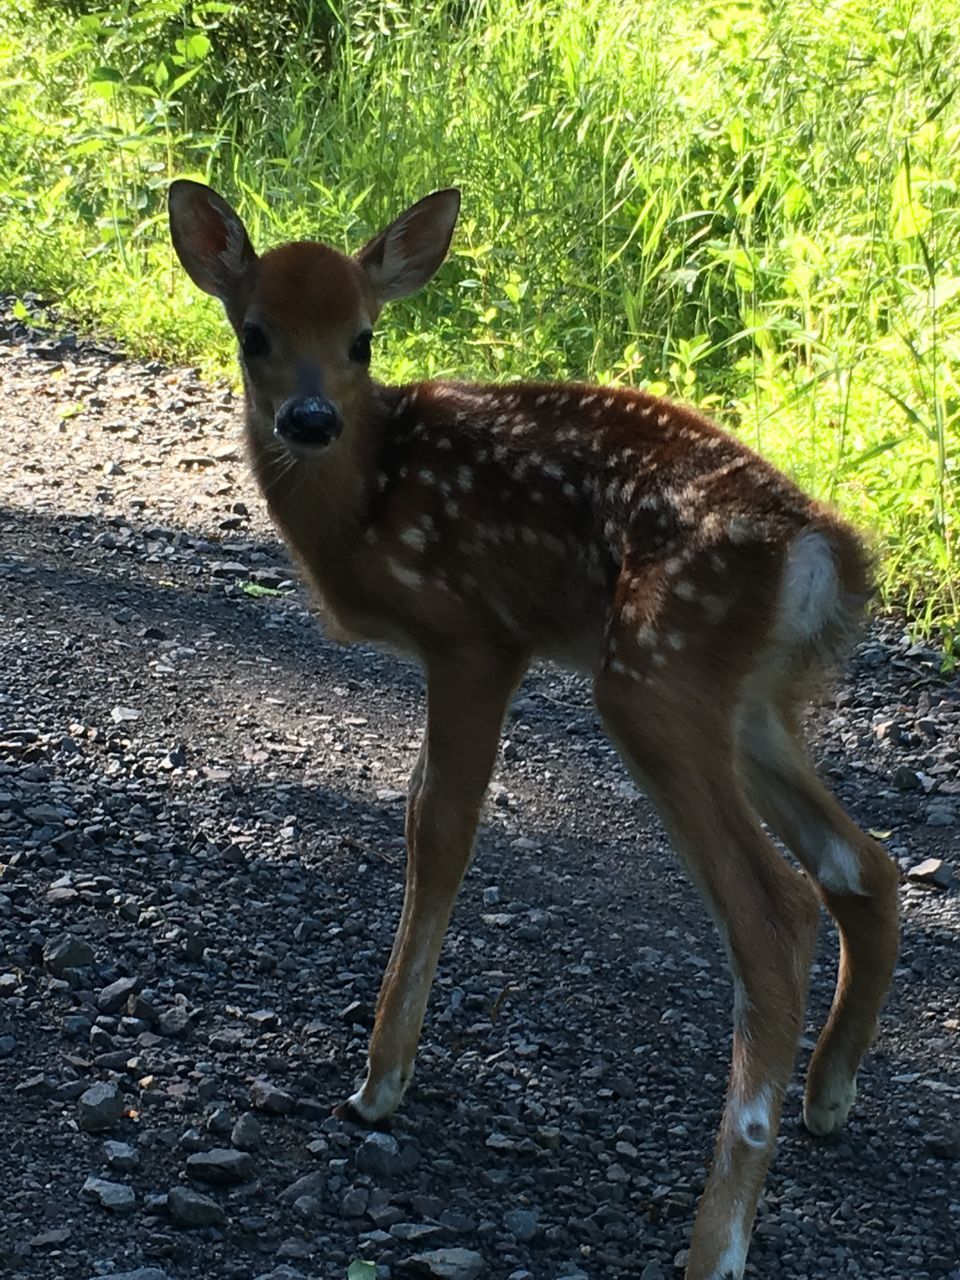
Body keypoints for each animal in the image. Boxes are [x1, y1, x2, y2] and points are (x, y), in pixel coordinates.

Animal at [168, 180, 906, 1280]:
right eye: (255, 333)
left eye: (363, 339)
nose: (309, 417)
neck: (368, 504)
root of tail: (825, 553)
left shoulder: (476, 634)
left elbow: (439, 829)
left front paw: (379, 1083)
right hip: (748, 700)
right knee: (865, 862)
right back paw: (830, 1095)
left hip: (653, 674)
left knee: (778, 910)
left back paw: (716, 1241)